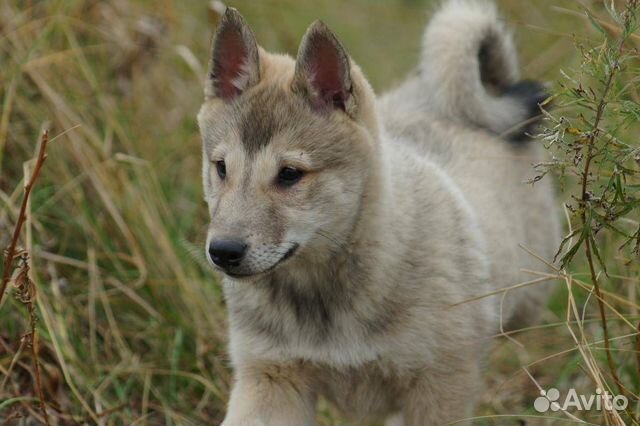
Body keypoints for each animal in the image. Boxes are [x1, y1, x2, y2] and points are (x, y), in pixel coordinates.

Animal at [196, 1, 560, 424]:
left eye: (290, 174)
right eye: (221, 168)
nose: (222, 252)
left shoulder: (437, 389)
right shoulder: (270, 378)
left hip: (528, 301)